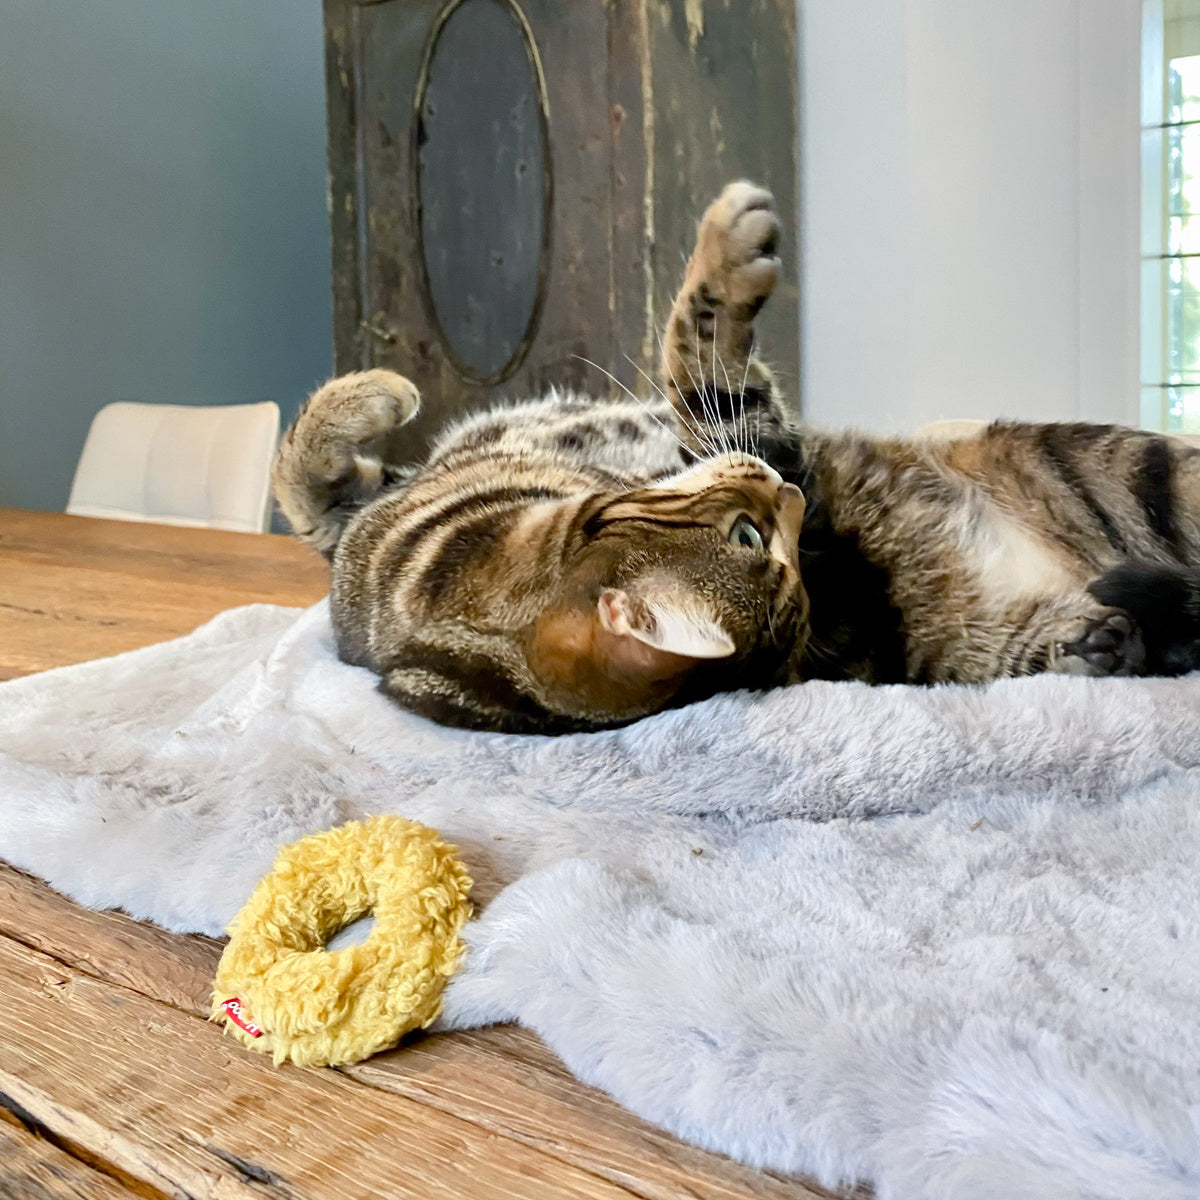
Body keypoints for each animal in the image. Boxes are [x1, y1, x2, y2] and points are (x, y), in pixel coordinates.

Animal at [274, 178, 1200, 729]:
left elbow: (304, 481)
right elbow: (702, 362)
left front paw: (365, 399)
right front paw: (726, 251)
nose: (784, 495)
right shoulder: (772, 450)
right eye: (752, 538)